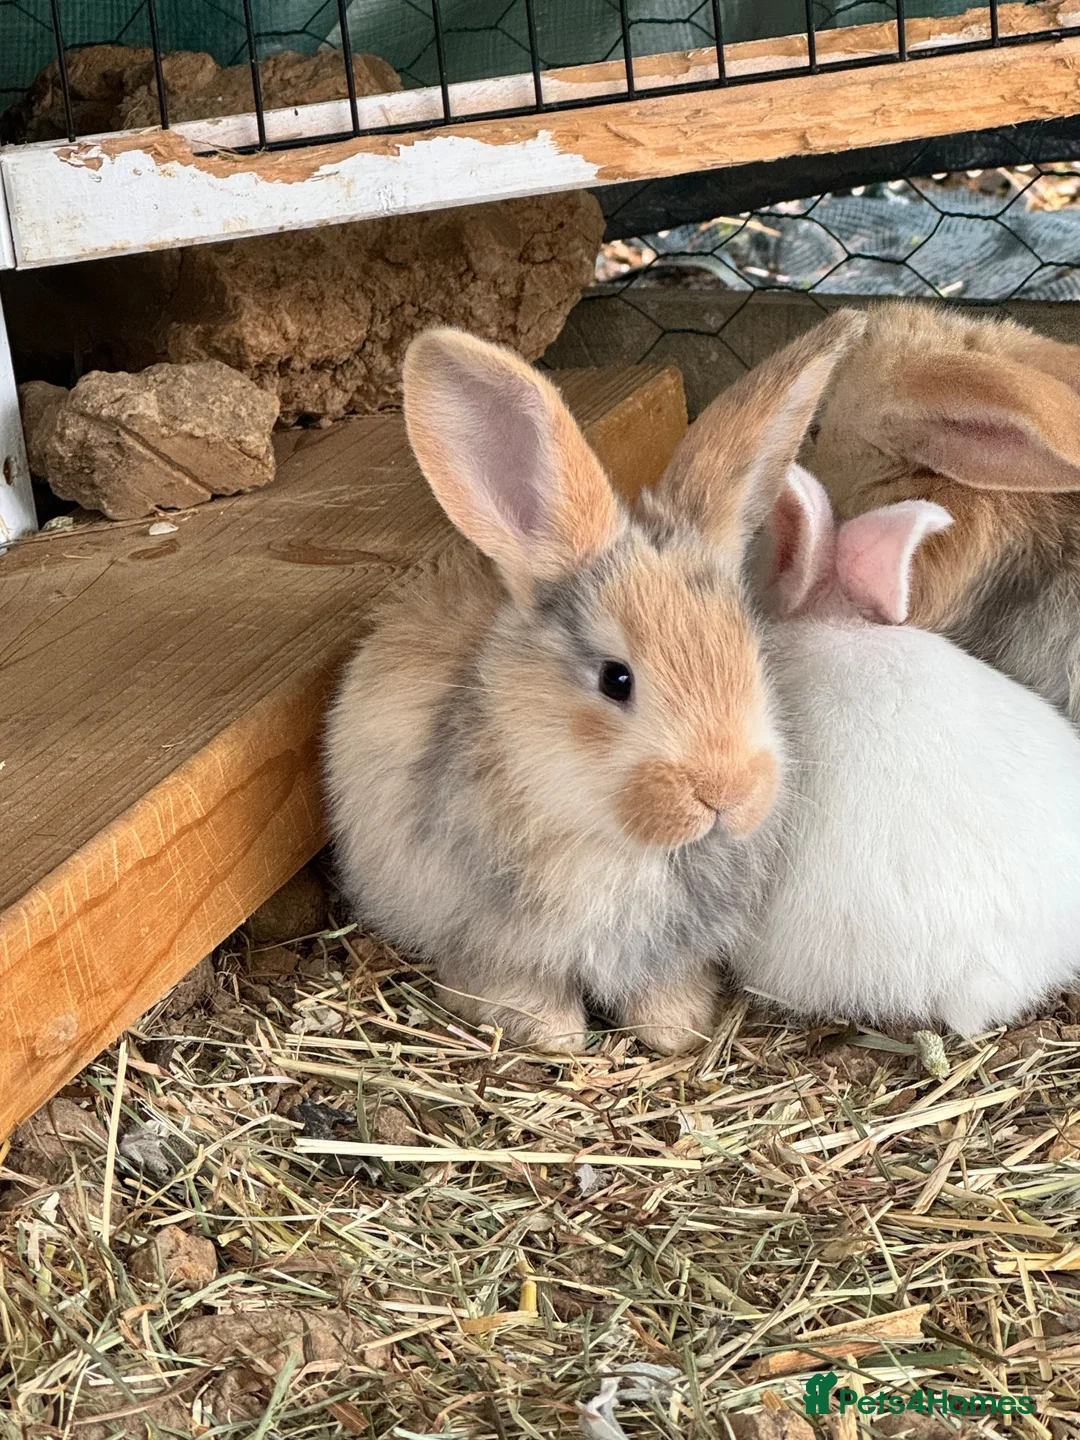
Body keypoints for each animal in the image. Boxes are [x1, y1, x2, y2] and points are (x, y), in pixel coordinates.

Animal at [324, 311, 868, 1054]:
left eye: (751, 653)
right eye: (616, 679)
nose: (727, 792)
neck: (614, 838)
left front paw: (676, 1028)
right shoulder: (491, 940)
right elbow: (513, 989)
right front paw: (555, 1036)